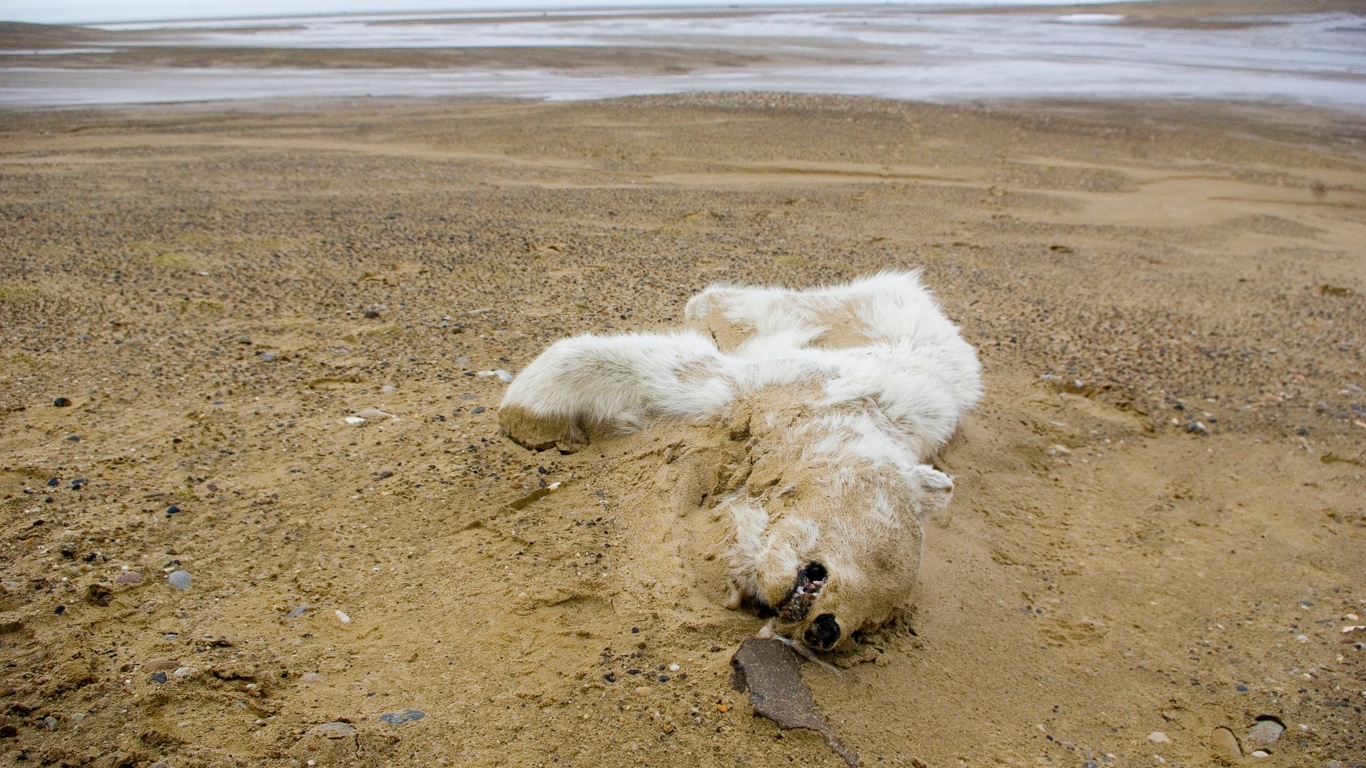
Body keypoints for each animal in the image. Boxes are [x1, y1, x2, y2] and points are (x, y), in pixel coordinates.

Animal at [502, 270, 983, 650]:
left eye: (870, 624)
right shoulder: (798, 384)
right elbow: (682, 371)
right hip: (851, 307)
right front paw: (529, 415)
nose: (825, 630)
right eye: (882, 555)